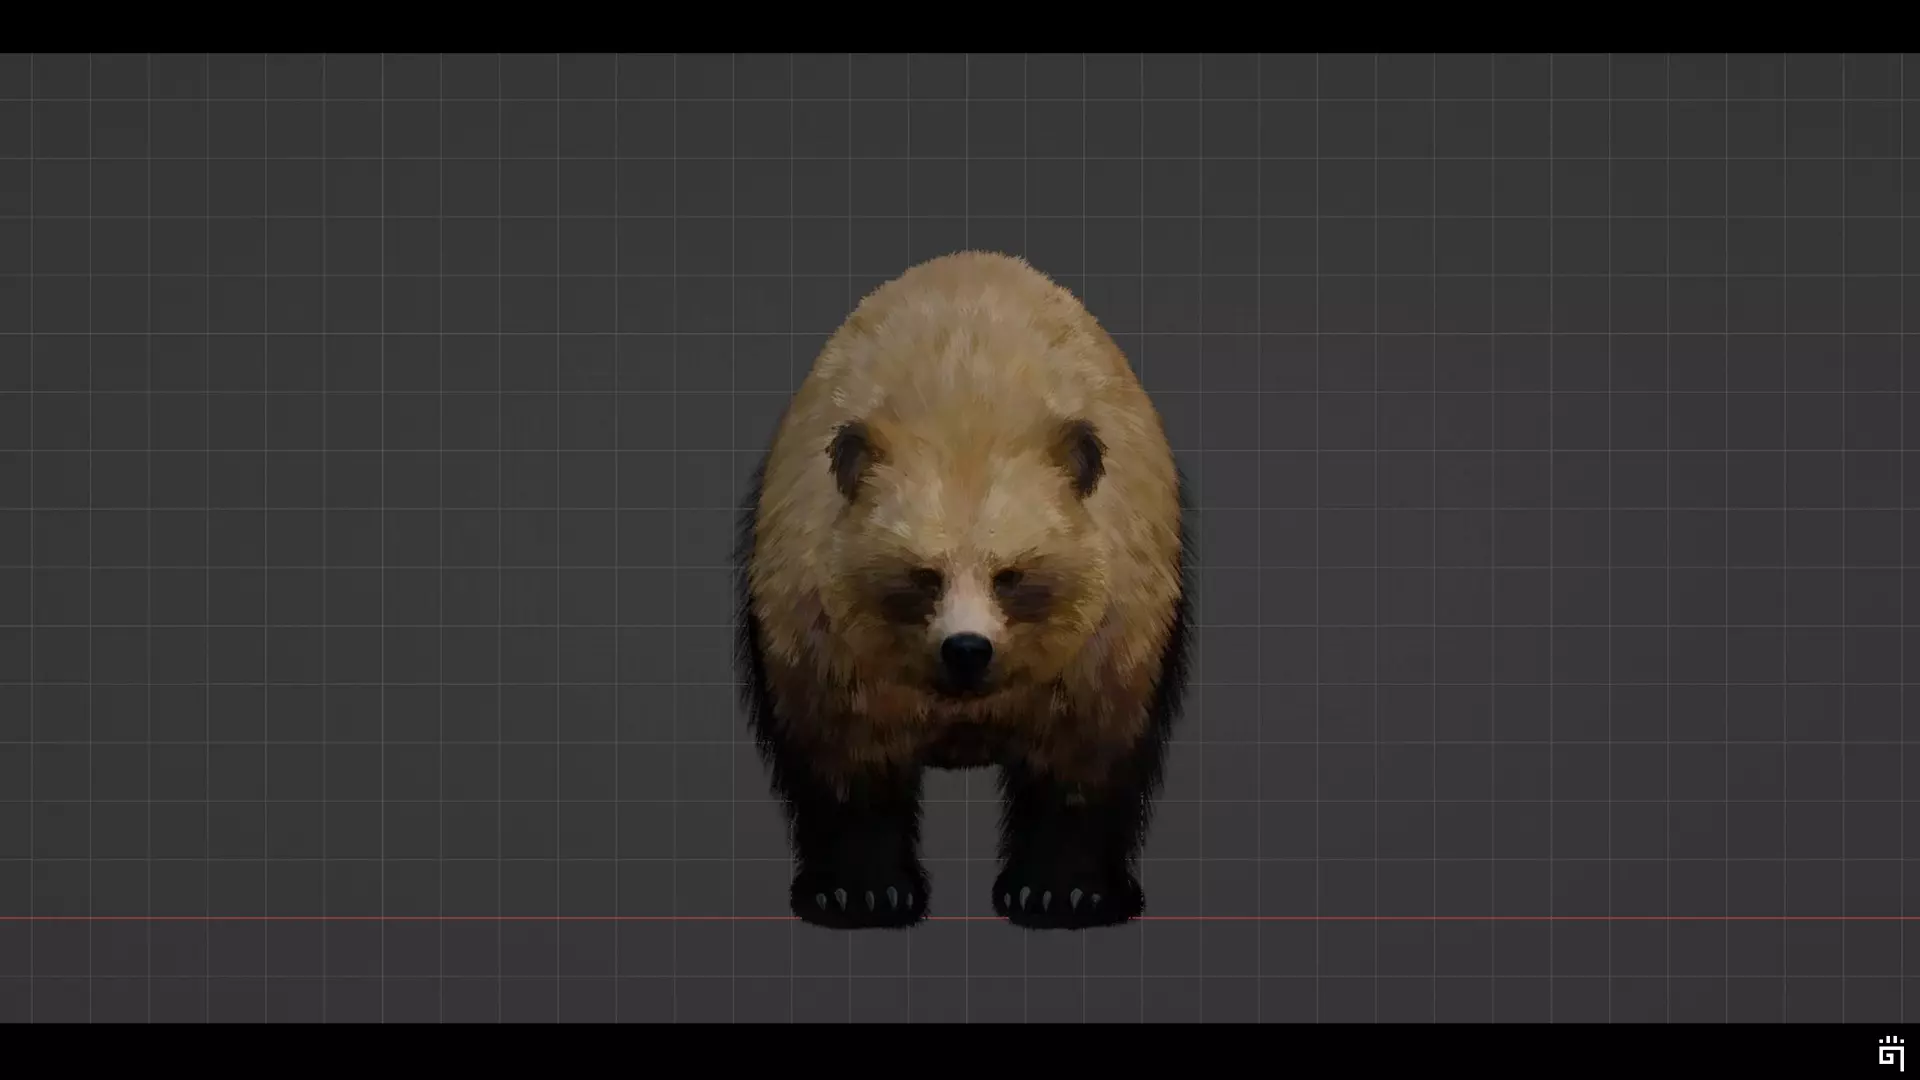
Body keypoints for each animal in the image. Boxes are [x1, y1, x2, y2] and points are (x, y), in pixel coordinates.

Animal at [734, 250, 1191, 931]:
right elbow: (840, 746)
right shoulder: (810, 606)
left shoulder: (1120, 609)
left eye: (1013, 577)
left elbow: (1089, 746)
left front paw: (1061, 892)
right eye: (922, 576)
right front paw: (861, 892)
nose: (967, 650)